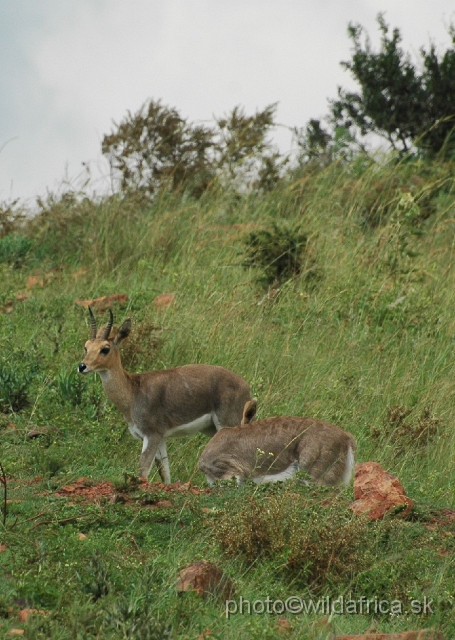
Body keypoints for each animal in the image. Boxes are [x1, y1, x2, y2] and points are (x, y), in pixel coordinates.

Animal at [78, 308, 253, 482]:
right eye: (86, 347)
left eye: (105, 348)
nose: (82, 366)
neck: (133, 391)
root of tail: (246, 387)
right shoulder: (160, 438)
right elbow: (165, 473)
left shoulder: (152, 435)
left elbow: (143, 471)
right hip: (211, 429)